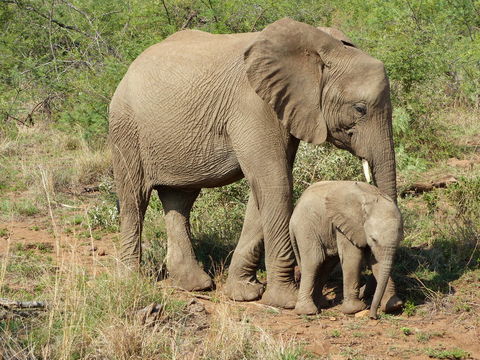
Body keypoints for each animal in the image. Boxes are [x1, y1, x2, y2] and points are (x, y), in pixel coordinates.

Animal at [109, 18, 398, 308]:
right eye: (360, 109)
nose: (391, 305)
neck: (322, 47)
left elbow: (264, 188)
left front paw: (244, 294)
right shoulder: (253, 106)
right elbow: (276, 182)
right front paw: (285, 301)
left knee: (180, 200)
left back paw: (194, 285)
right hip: (126, 127)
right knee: (134, 198)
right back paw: (130, 280)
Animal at [288, 181, 404, 316]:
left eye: (399, 239)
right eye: (374, 239)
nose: (373, 316)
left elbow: (376, 263)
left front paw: (394, 306)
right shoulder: (346, 225)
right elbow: (353, 257)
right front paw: (355, 309)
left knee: (327, 264)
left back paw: (321, 304)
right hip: (306, 227)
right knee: (314, 261)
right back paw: (308, 311)